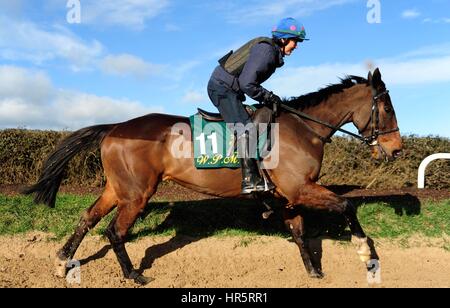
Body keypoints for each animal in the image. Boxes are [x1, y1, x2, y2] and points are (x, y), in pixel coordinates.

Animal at [24, 68, 402, 286]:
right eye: (387, 108)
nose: (397, 149)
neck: (302, 128)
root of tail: (115, 127)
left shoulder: (289, 195)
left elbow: (299, 233)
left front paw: (314, 271)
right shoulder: (301, 188)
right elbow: (347, 205)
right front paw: (365, 253)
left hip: (119, 189)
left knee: (88, 217)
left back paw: (62, 262)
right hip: (138, 193)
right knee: (115, 231)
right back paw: (133, 274)